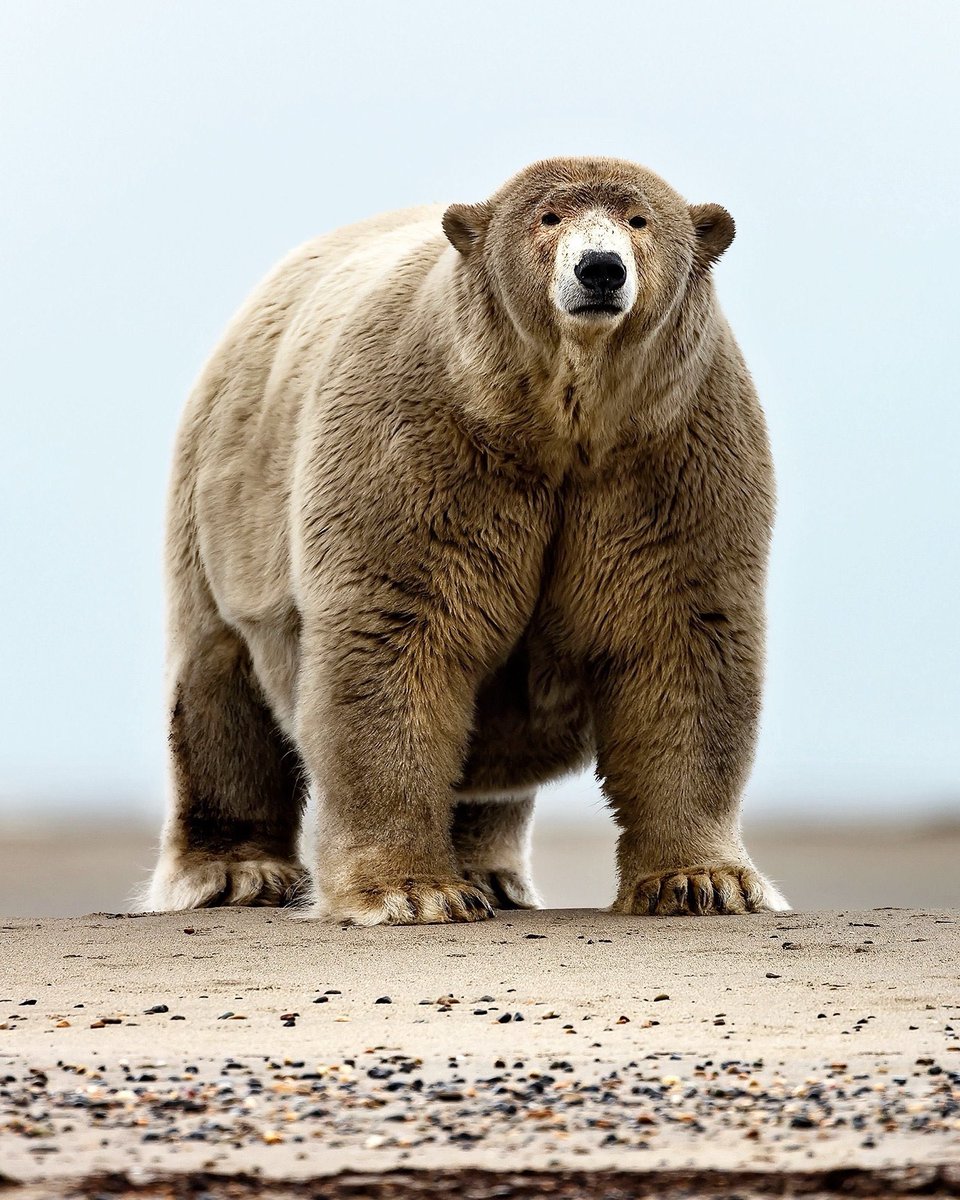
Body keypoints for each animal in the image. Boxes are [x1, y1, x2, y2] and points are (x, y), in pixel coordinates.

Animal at [146, 155, 790, 924]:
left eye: (639, 219)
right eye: (548, 216)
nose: (600, 269)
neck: (559, 425)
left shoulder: (669, 455)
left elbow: (680, 640)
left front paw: (703, 882)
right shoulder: (423, 443)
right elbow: (398, 636)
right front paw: (410, 891)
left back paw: (493, 873)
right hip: (222, 504)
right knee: (218, 685)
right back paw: (237, 873)